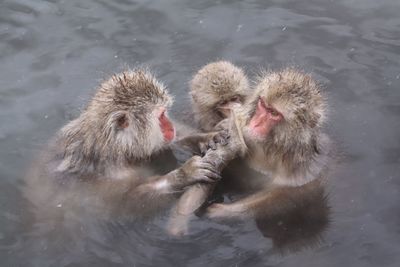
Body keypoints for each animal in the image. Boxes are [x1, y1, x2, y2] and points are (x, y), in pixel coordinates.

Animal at [22, 68, 222, 223]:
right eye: (161, 116)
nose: (170, 126)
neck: (113, 147)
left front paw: (204, 138)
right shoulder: (110, 176)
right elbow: (130, 203)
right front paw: (185, 174)